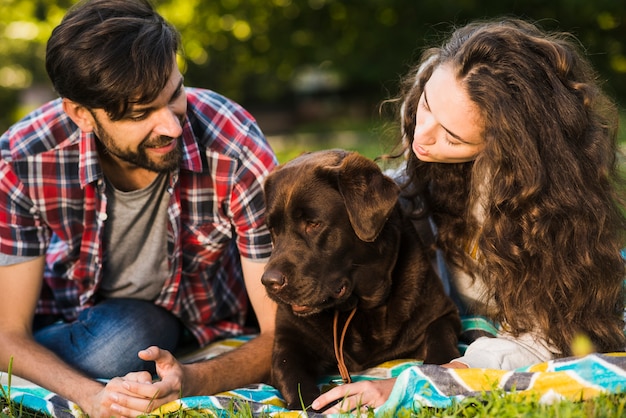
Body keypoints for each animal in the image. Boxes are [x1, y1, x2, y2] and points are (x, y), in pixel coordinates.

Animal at [258, 149, 458, 410]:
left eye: (313, 224)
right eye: (273, 229)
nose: (269, 282)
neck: (358, 307)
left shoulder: (442, 314)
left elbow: (441, 343)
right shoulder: (287, 343)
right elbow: (294, 379)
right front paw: (318, 405)